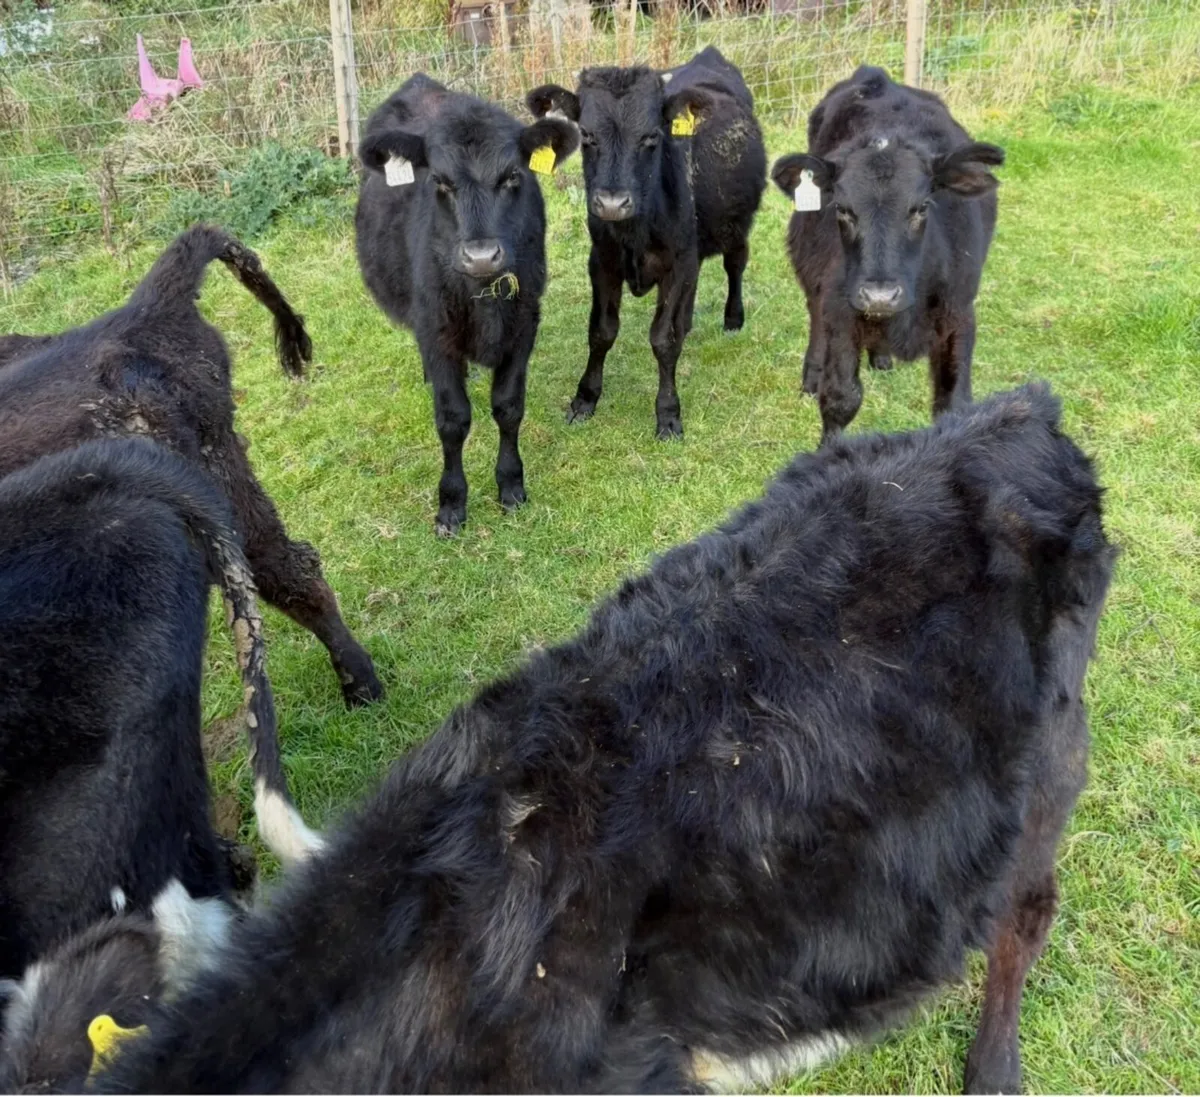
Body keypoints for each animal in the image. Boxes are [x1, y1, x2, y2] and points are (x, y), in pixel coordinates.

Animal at [355, 74, 579, 536]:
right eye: (440, 181)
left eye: (512, 176)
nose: (480, 256)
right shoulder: (435, 330)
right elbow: (453, 419)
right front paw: (452, 503)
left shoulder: (525, 322)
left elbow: (508, 407)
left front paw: (511, 485)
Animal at [528, 45, 766, 440]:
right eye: (587, 136)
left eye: (652, 137)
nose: (612, 203)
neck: (634, 234)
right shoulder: (602, 260)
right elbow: (601, 332)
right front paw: (584, 399)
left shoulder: (677, 263)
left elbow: (663, 340)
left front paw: (668, 413)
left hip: (736, 225)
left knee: (735, 264)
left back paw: (733, 317)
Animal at [771, 66, 1004, 444]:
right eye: (842, 209)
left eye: (921, 207)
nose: (879, 295)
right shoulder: (840, 309)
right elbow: (841, 398)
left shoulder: (960, 310)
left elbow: (954, 404)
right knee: (814, 316)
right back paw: (812, 374)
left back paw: (881, 358)